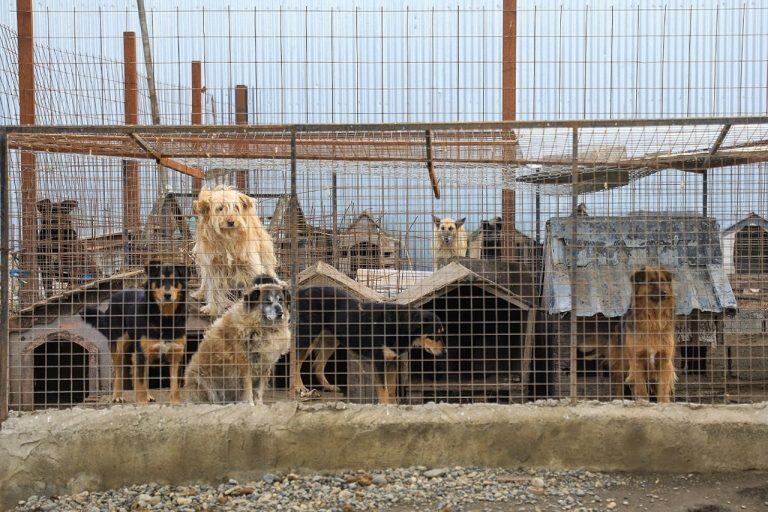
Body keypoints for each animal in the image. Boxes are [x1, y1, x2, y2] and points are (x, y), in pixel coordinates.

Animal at [192, 186, 280, 318]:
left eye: (236, 208)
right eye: (220, 208)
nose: (231, 221)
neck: (228, 238)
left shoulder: (251, 266)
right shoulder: (213, 266)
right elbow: (213, 288)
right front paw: (212, 308)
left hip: (265, 257)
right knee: (205, 281)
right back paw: (200, 294)